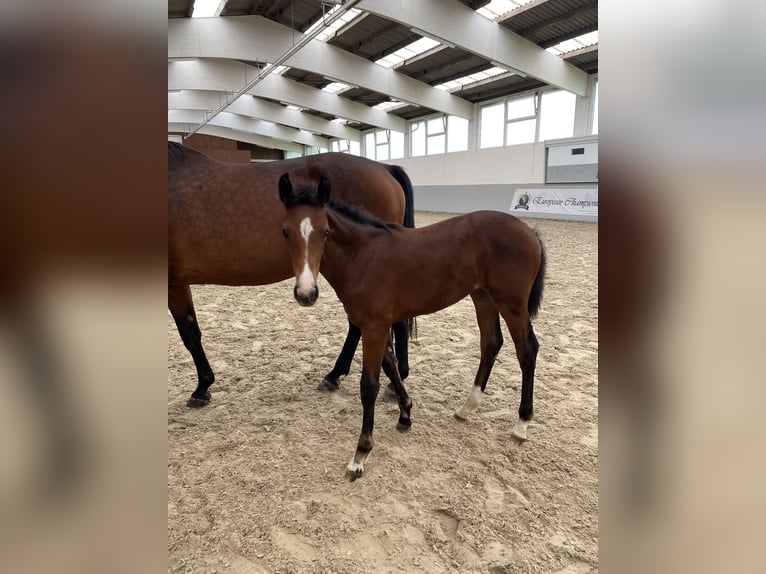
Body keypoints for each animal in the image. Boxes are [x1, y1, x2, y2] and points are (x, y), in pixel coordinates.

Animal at [170, 144, 414, 410]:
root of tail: (385, 168)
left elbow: (189, 335)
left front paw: (201, 388)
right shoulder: (179, 282)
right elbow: (191, 331)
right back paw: (339, 376)